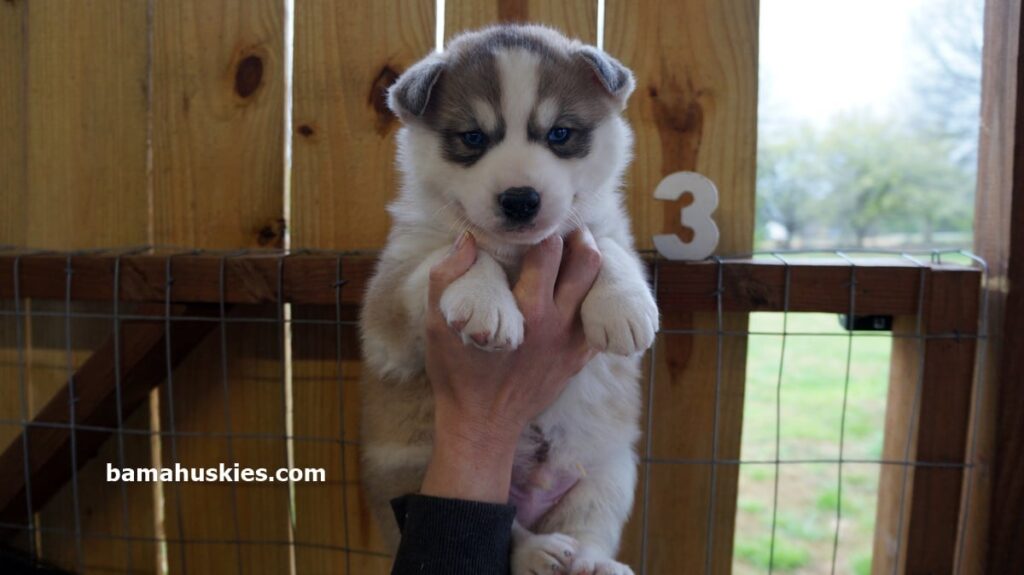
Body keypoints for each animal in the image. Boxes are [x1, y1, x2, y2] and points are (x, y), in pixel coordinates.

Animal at [359, 24, 659, 575]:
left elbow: (602, 242)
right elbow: (457, 253)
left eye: (560, 133)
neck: (520, 253)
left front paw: (624, 305)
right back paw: (537, 551)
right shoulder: (388, 300)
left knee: (589, 527)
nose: (521, 200)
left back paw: (591, 562)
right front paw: (486, 301)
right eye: (473, 138)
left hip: (610, 468)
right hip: (410, 466)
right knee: (509, 528)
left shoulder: (599, 229)